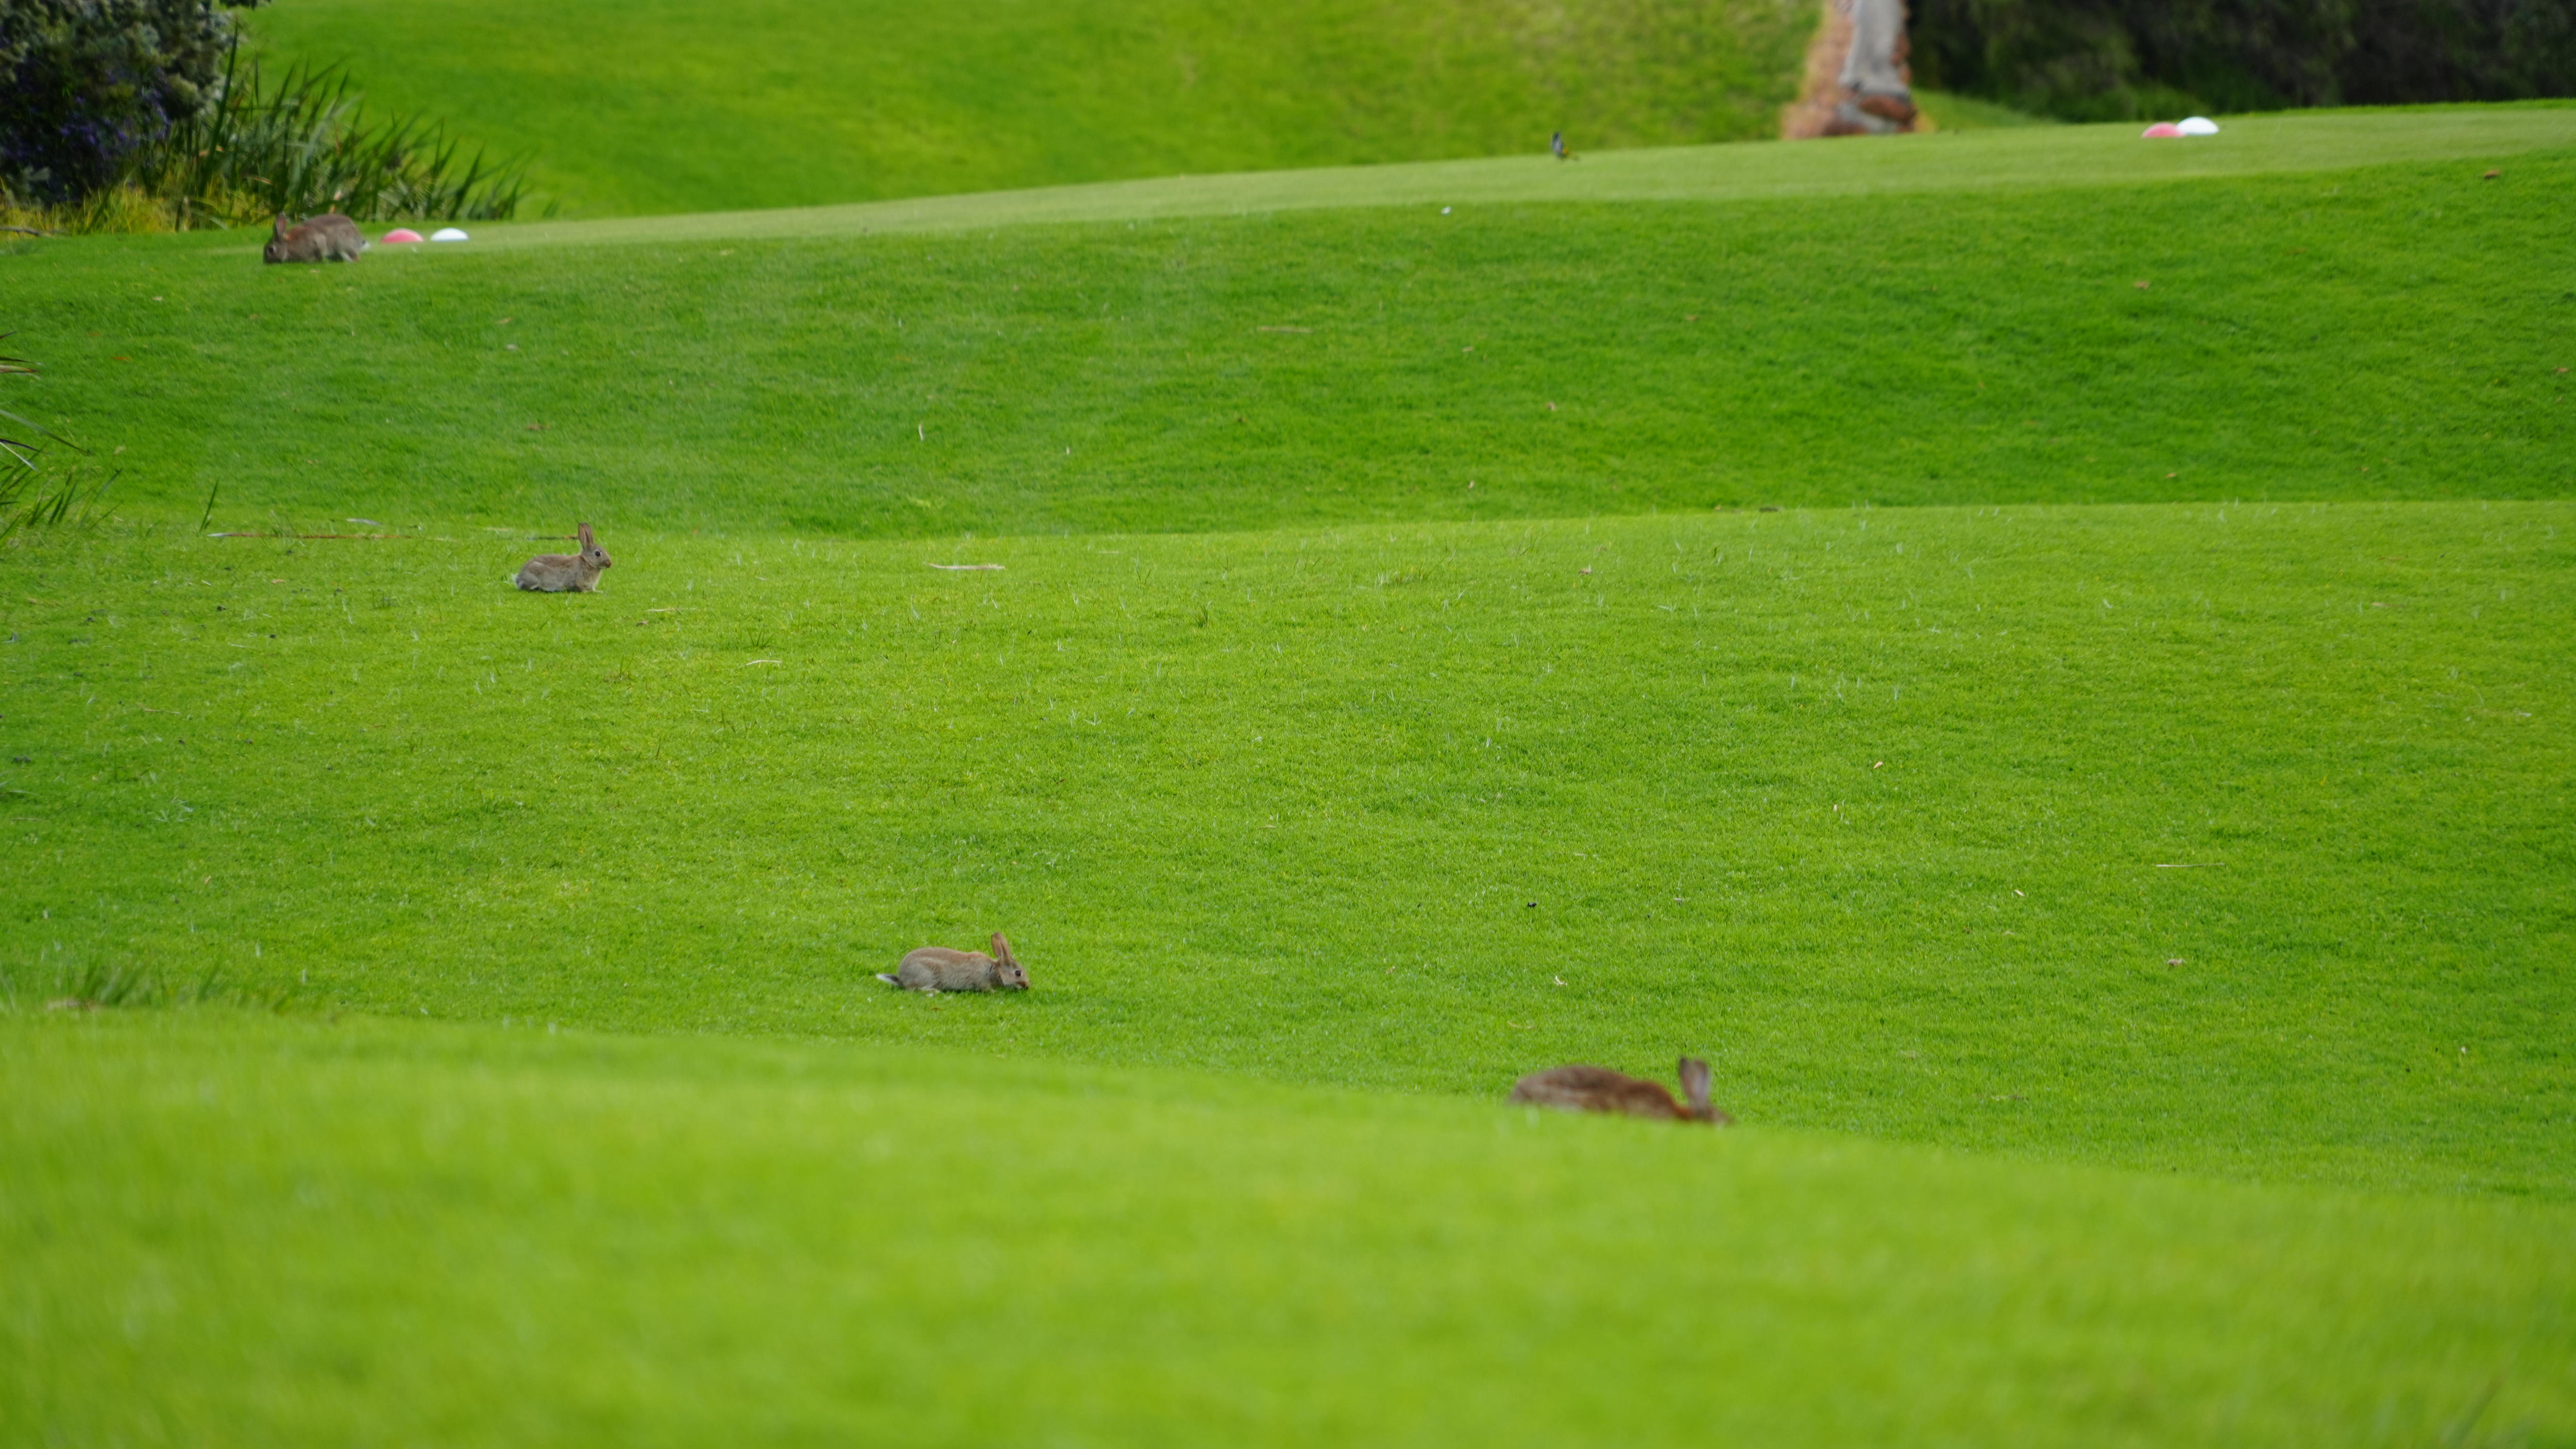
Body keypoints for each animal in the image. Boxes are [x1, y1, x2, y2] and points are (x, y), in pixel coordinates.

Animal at [263, 212, 365, 264]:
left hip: (342, 244)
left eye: (271, 249)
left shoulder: (318, 242)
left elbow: (319, 253)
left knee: (355, 257)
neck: (287, 246)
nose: (266, 262)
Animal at [514, 523, 613, 592]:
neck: (587, 562)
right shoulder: (579, 580)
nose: (610, 564)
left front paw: (598, 592)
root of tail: (518, 579)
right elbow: (582, 589)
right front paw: (588, 592)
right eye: (598, 554)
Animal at [878, 932, 1030, 994]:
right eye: (1018, 973)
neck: (995, 970)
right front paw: (995, 992)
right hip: (929, 975)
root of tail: (902, 978)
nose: (1027, 986)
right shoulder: (981, 980)